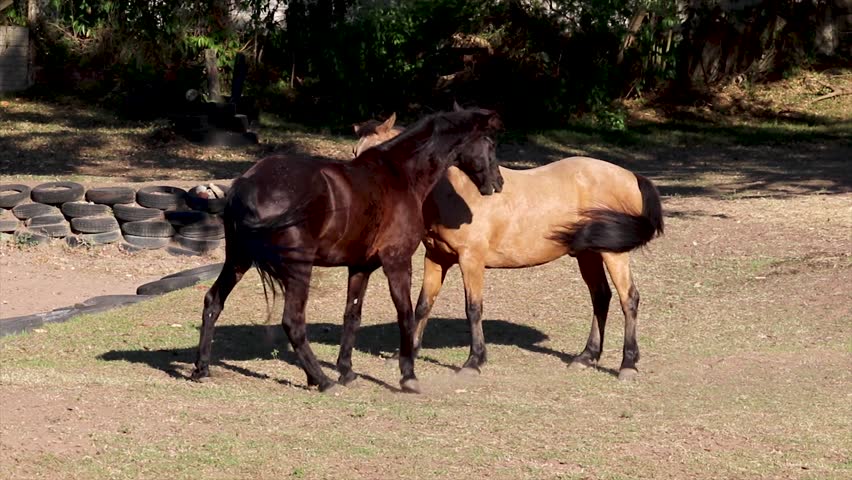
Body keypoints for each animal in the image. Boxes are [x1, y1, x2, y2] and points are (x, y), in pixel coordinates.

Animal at [191, 108, 505, 393]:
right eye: (490, 144)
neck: (400, 175)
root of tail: (247, 184)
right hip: (297, 269)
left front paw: (347, 371)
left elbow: (352, 316)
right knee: (293, 322)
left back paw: (201, 369)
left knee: (213, 302)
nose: (498, 183)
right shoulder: (397, 262)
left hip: (238, 260)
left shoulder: (360, 267)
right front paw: (408, 376)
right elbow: (405, 314)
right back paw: (322, 380)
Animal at [353, 112, 663, 381]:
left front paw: (473, 362)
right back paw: (586, 356)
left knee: (628, 299)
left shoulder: (471, 260)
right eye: (356, 153)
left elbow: (473, 308)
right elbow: (423, 306)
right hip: (588, 253)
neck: (456, 194)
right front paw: (406, 354)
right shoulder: (437, 257)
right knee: (601, 297)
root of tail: (631, 176)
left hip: (614, 254)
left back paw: (627, 365)